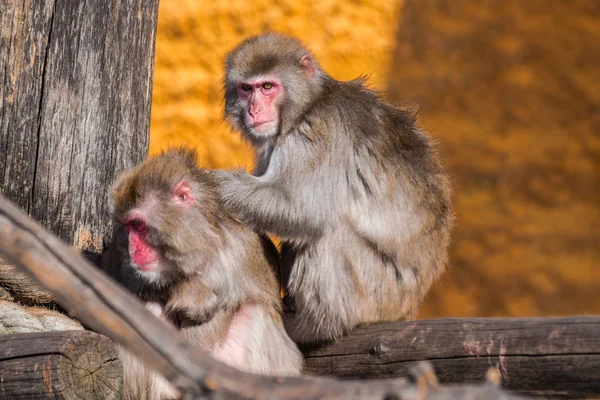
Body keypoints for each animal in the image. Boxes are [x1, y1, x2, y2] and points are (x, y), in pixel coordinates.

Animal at [101, 148, 304, 398]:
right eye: (126, 227)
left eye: (138, 225)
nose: (133, 251)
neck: (201, 244)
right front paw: (193, 293)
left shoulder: (241, 249)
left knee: (253, 309)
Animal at [218, 32, 452, 344]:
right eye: (246, 89)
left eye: (267, 87)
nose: (254, 110)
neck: (307, 104)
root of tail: (409, 305)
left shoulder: (316, 131)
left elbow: (302, 209)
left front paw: (214, 182)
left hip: (376, 294)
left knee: (330, 233)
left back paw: (314, 327)